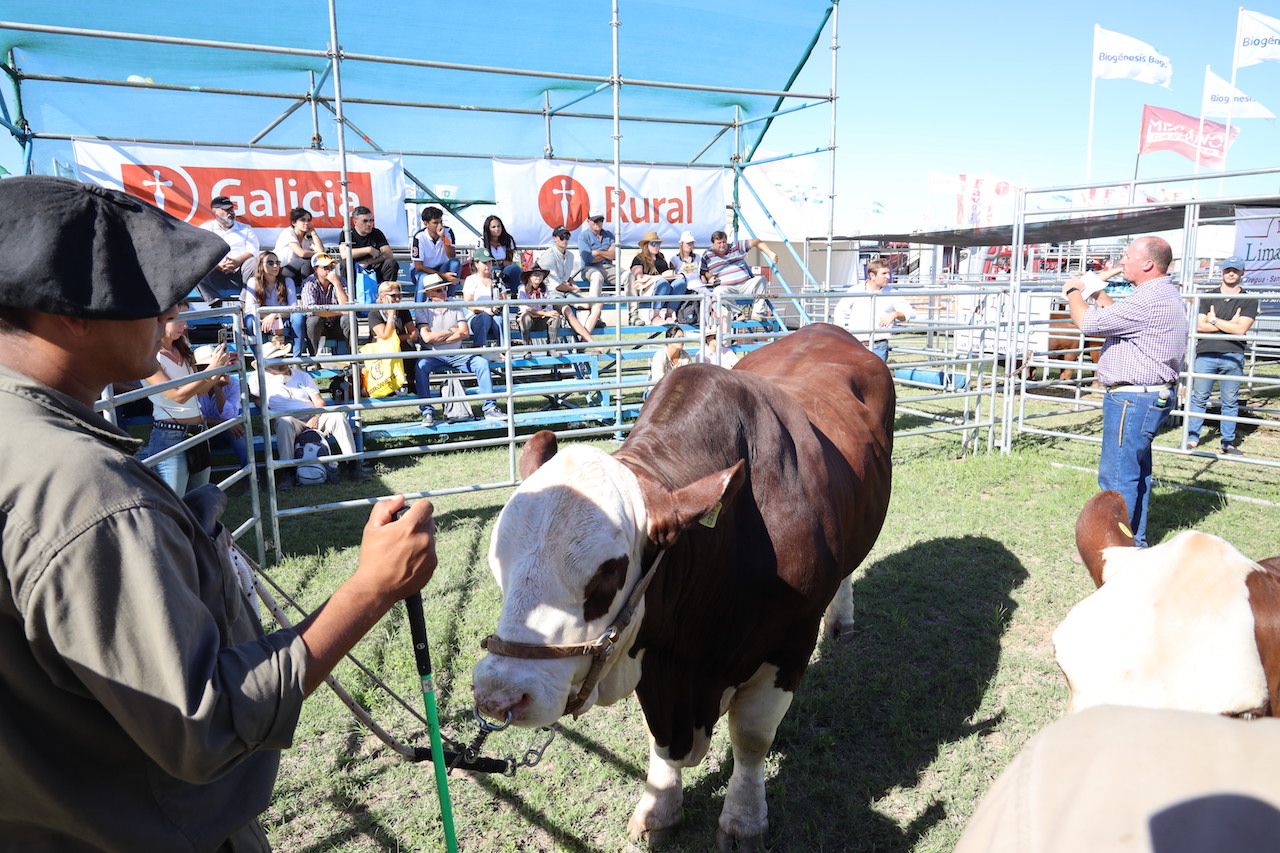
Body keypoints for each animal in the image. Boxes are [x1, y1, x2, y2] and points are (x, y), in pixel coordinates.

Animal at [468, 322, 890, 845]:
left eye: (610, 573)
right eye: (497, 563)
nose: (498, 696)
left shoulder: (789, 643)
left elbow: (752, 737)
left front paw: (744, 821)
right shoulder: (656, 654)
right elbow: (661, 742)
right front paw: (658, 810)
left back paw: (843, 620)